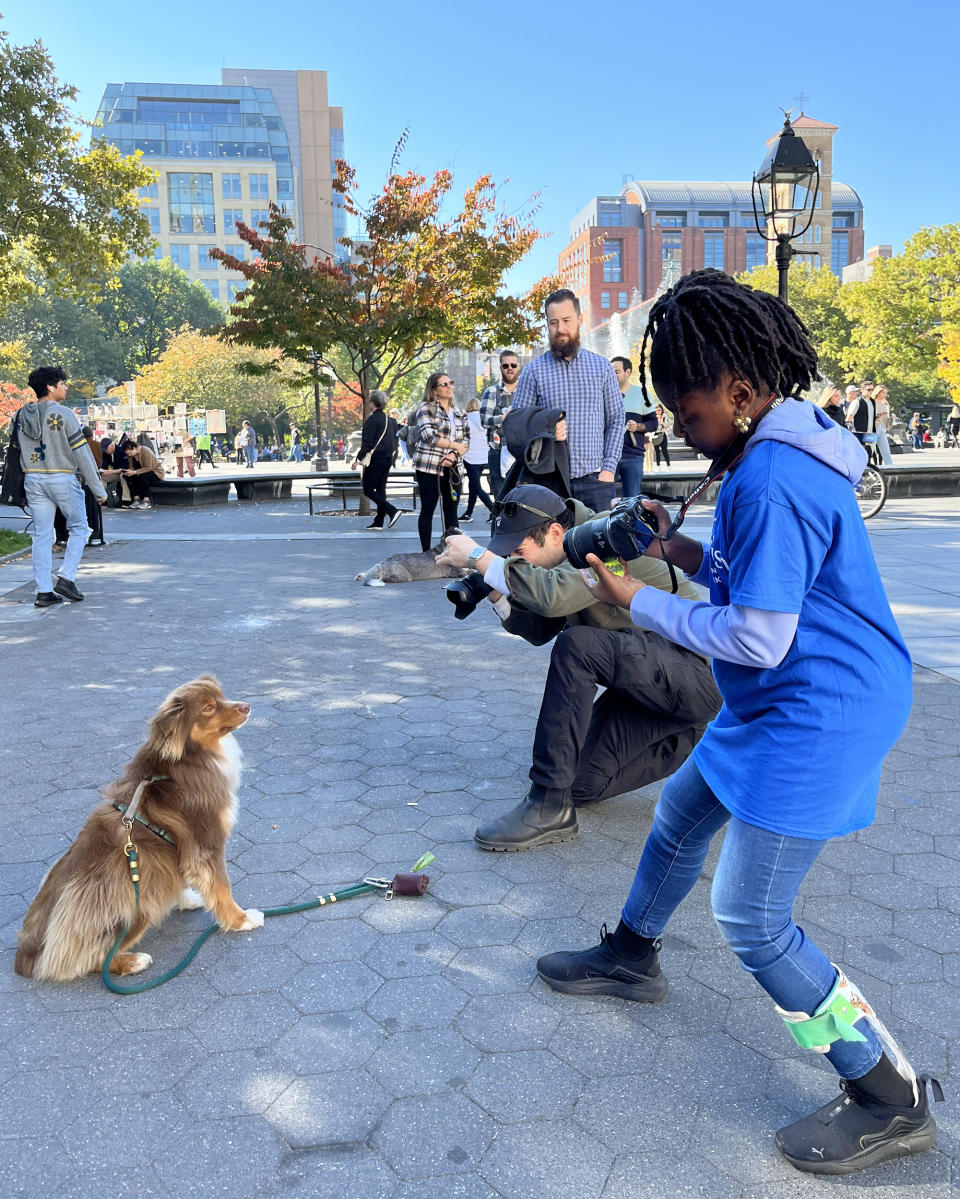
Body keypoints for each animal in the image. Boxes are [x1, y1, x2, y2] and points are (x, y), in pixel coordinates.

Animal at [14, 681, 262, 978]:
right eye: (208, 707)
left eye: (221, 695)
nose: (247, 705)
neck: (186, 761)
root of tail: (27, 955)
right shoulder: (206, 843)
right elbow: (222, 888)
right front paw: (241, 920)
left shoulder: (174, 853)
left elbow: (181, 876)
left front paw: (188, 899)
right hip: (136, 905)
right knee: (90, 960)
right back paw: (134, 961)